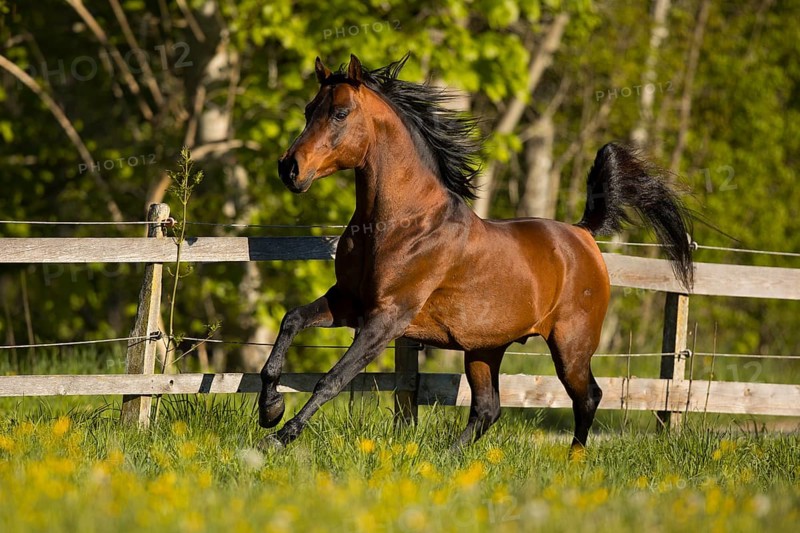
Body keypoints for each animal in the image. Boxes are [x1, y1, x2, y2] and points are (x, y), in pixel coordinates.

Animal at [258, 54, 693, 453]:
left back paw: (574, 459)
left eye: (340, 113)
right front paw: (270, 409)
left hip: (571, 346)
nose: (288, 168)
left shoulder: (387, 317)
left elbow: (331, 378)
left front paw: (279, 437)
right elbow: (291, 320)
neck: (400, 223)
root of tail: (583, 234)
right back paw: (448, 459)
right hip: (485, 349)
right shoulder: (348, 302)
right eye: (309, 110)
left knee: (587, 397)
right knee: (488, 409)